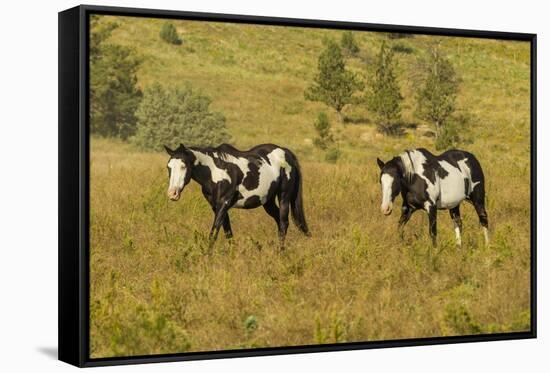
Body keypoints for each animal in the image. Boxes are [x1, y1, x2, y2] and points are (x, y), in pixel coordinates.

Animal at [164, 142, 310, 247]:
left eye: (183, 166)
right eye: (169, 167)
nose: (172, 193)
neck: (215, 171)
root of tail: (286, 152)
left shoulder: (224, 203)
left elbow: (214, 233)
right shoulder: (217, 207)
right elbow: (228, 232)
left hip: (284, 196)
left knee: (284, 223)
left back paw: (281, 252)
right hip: (268, 202)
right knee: (279, 222)